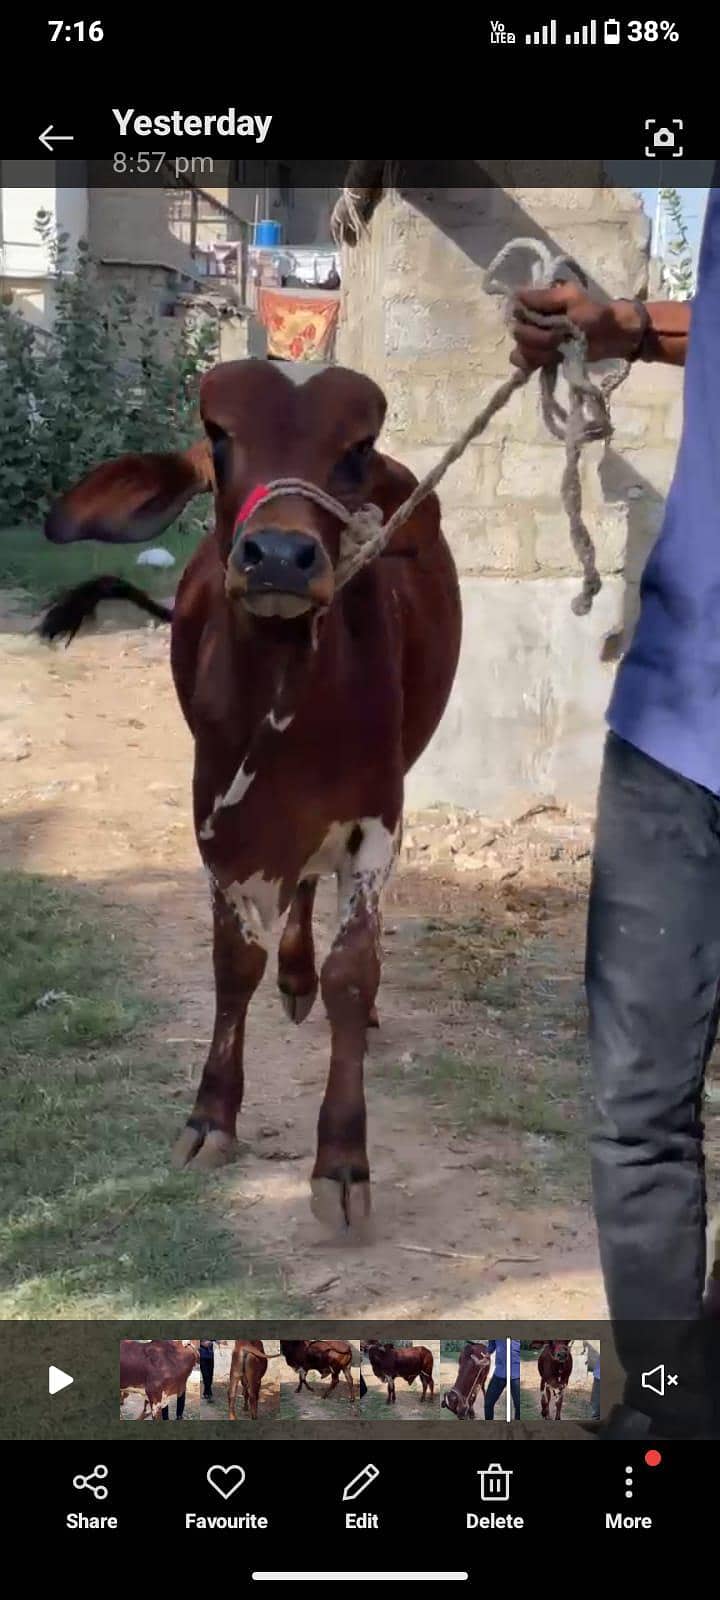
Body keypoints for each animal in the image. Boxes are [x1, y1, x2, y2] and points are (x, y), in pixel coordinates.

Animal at [39, 359, 462, 1235]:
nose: (280, 557)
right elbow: (234, 963)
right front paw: (211, 1116)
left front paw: (342, 1158)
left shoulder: (378, 818)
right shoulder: (215, 814)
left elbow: (353, 974)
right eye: (220, 437)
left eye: (357, 448)